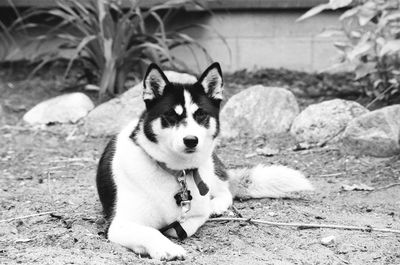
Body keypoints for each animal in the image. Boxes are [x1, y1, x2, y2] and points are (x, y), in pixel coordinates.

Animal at [95, 62, 314, 260]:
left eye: (201, 114)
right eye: (170, 115)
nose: (191, 140)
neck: (176, 172)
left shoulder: (196, 213)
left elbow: (186, 224)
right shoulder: (120, 224)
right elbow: (150, 231)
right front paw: (165, 247)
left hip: (210, 171)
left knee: (225, 191)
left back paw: (217, 205)